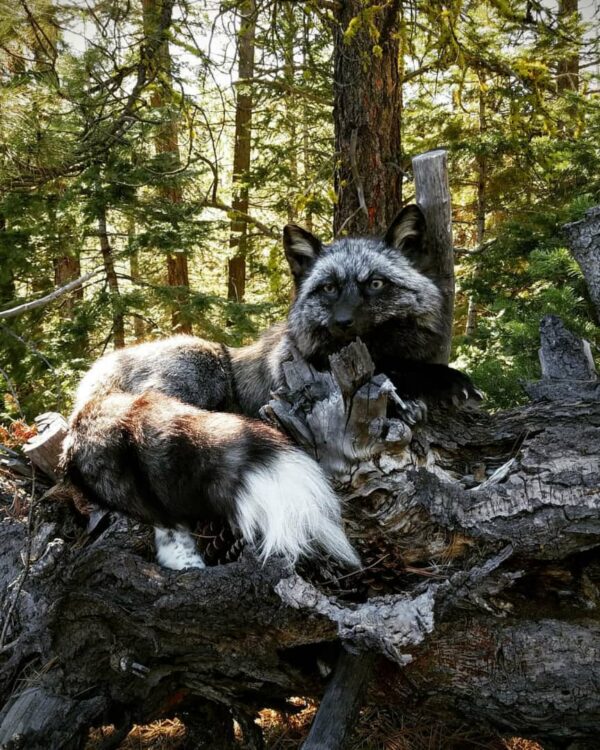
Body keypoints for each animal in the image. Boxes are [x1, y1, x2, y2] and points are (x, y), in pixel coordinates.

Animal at [62, 205, 479, 570]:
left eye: (375, 284)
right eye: (329, 288)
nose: (343, 322)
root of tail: (87, 390)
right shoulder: (311, 370)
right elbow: (402, 372)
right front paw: (441, 383)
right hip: (201, 364)